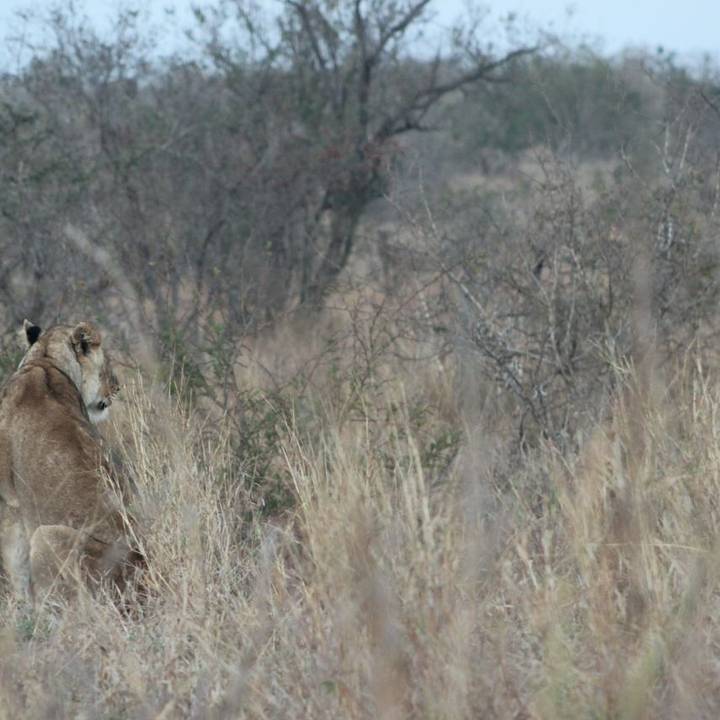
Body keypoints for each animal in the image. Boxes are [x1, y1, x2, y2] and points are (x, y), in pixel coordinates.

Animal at [0, 320, 142, 605]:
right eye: (106, 362)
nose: (118, 386)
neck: (45, 360)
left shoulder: (9, 505)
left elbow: (14, 565)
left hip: (48, 536)